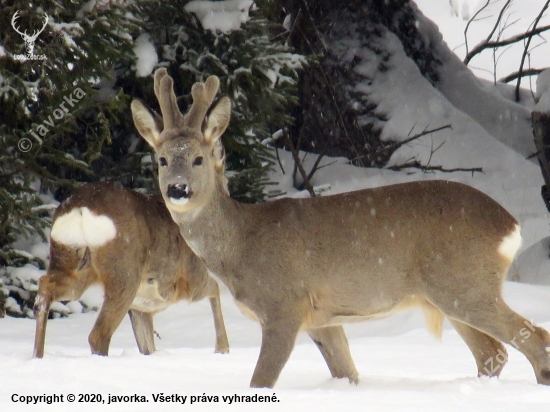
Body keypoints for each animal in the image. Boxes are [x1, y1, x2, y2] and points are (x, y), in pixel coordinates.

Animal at [33, 182, 230, 358]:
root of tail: (80, 209)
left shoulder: (142, 306)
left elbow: (148, 346)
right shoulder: (190, 280)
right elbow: (215, 290)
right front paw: (222, 349)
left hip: (72, 263)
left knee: (45, 286)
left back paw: (37, 355)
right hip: (124, 275)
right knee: (98, 334)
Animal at [132, 69, 550, 388]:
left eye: (199, 159)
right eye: (162, 160)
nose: (178, 189)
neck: (241, 243)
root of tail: (510, 225)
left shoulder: (284, 304)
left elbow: (260, 381)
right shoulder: (323, 319)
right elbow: (347, 373)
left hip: (464, 284)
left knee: (534, 340)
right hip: (448, 295)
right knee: (493, 353)